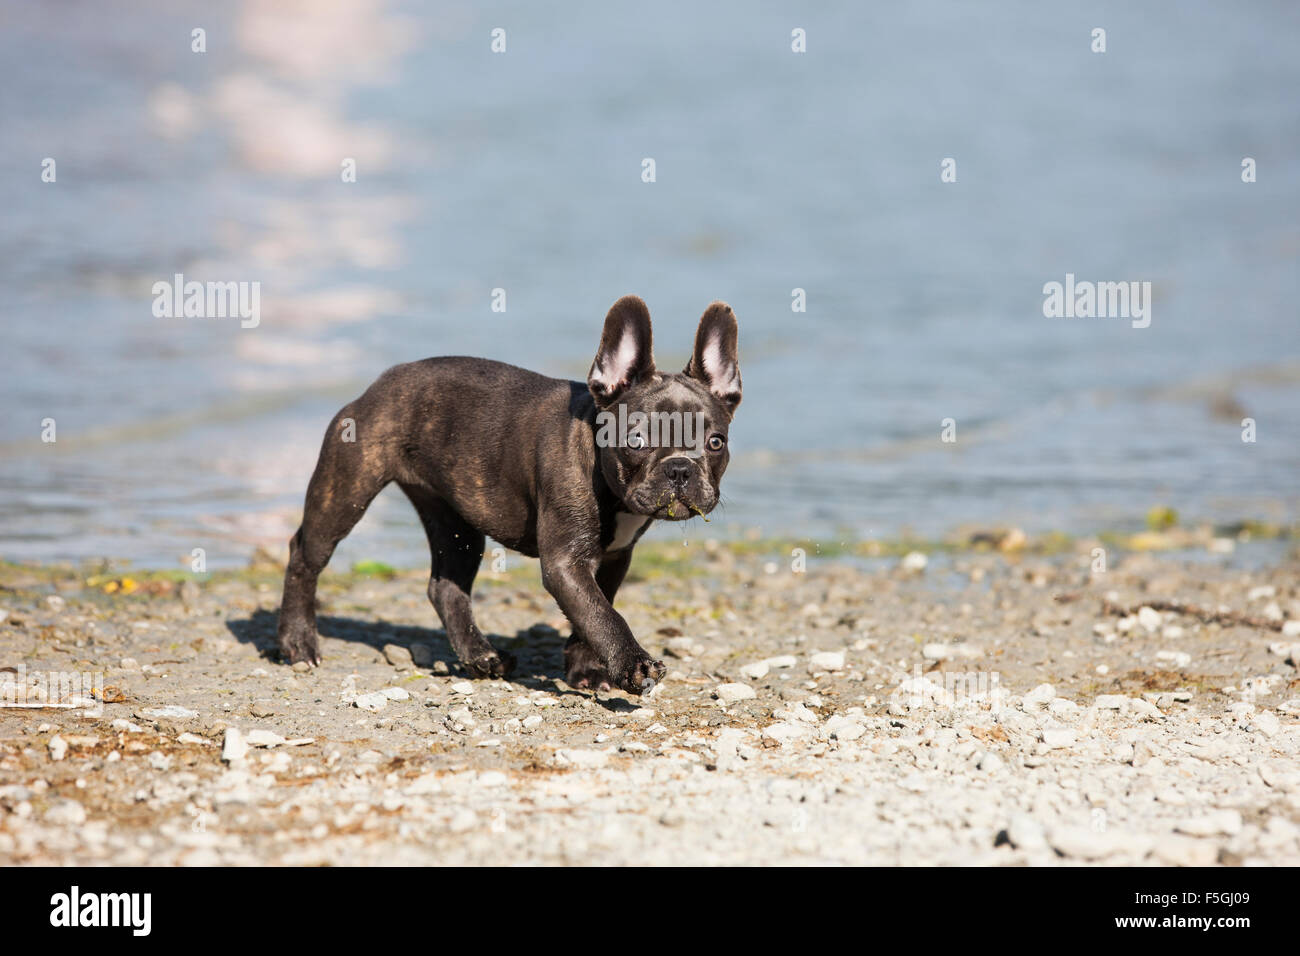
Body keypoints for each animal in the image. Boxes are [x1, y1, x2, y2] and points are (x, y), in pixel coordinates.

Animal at [274, 297, 743, 697]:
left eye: (716, 442)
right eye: (637, 440)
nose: (680, 468)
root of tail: (382, 381)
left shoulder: (613, 558)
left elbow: (594, 610)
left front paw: (585, 669)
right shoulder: (565, 563)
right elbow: (603, 615)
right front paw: (633, 665)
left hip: (456, 523)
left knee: (445, 587)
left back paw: (481, 656)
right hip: (346, 491)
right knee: (305, 555)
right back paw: (298, 643)